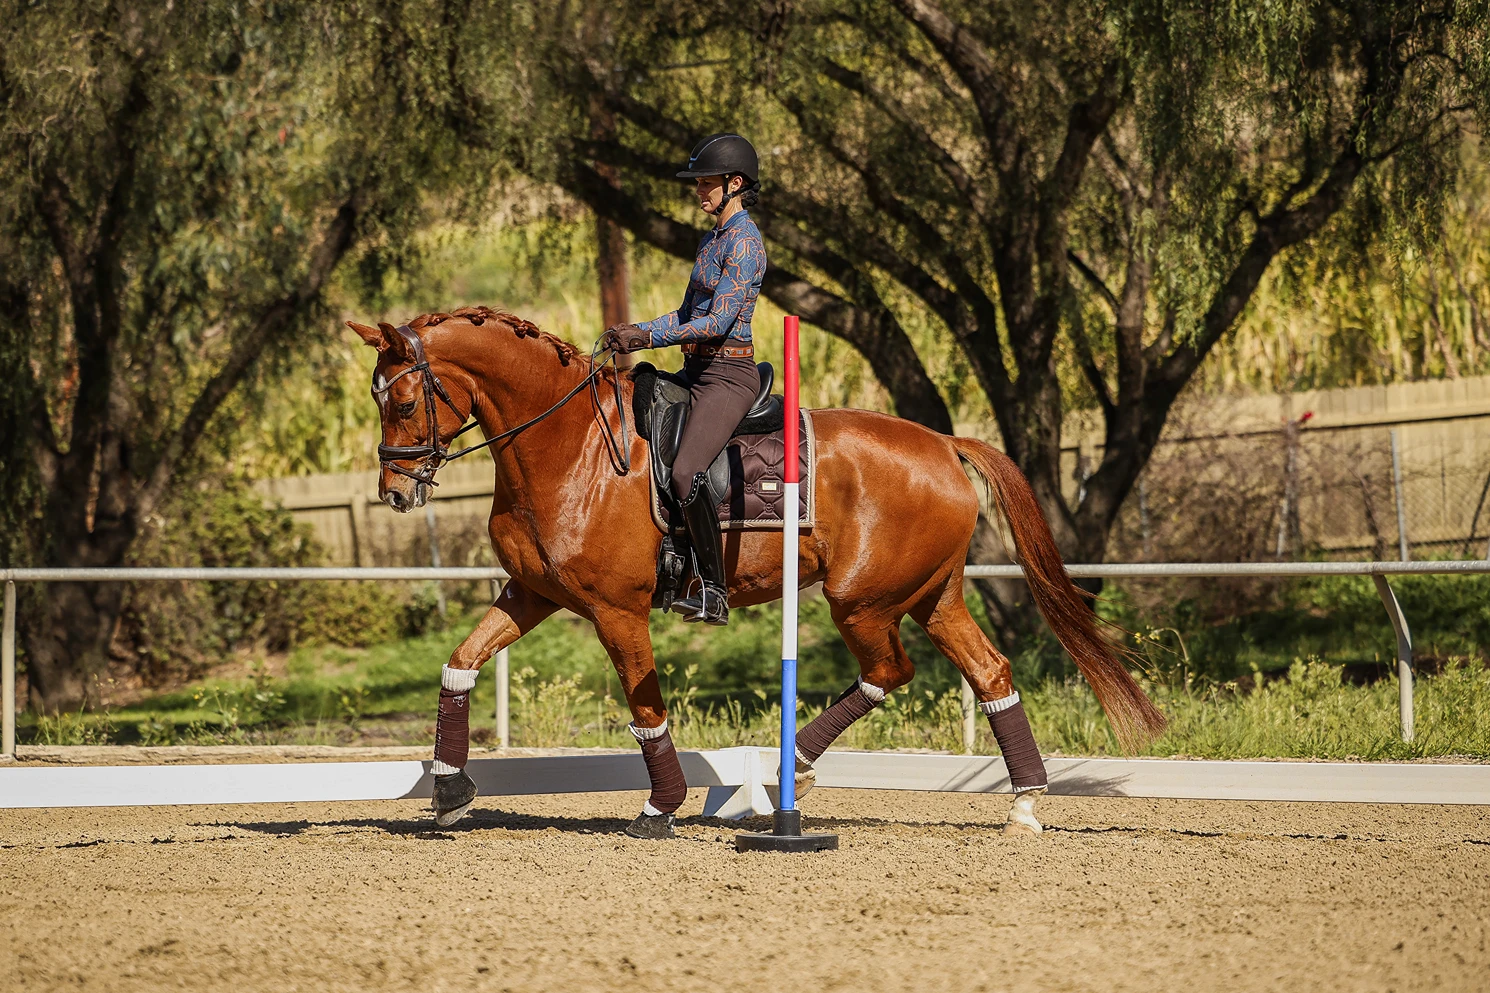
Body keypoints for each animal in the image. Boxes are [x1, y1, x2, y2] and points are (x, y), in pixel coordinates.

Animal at [347, 306, 1165, 838]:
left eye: (406, 398)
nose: (395, 492)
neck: (567, 445)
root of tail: (942, 442)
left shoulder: (618, 609)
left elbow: (645, 708)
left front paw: (660, 807)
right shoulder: (532, 594)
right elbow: (459, 664)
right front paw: (450, 791)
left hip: (861, 599)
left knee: (890, 671)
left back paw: (787, 773)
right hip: (932, 594)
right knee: (990, 673)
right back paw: (1023, 803)